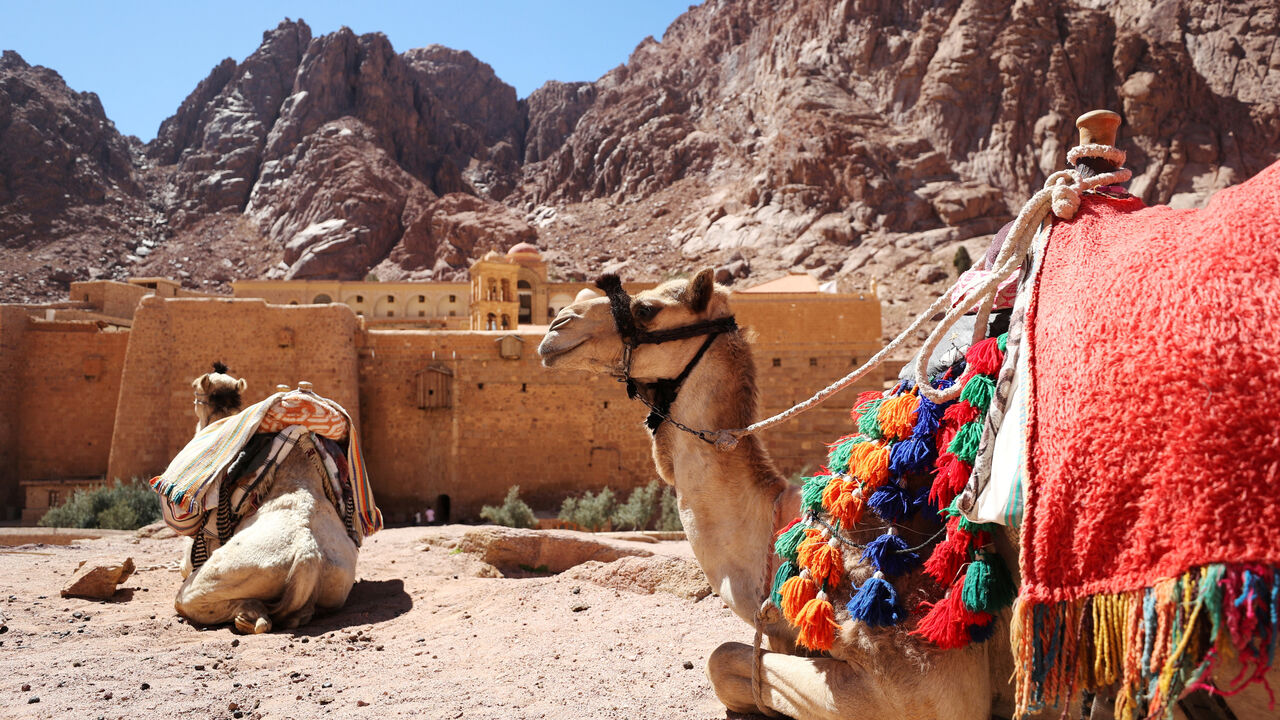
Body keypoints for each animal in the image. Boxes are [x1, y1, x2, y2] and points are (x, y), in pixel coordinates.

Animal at [169, 368, 360, 634]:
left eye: (197, 394)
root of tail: (308, 557)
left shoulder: (191, 559)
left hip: (217, 578)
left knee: (196, 602)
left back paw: (249, 616)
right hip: (337, 584)